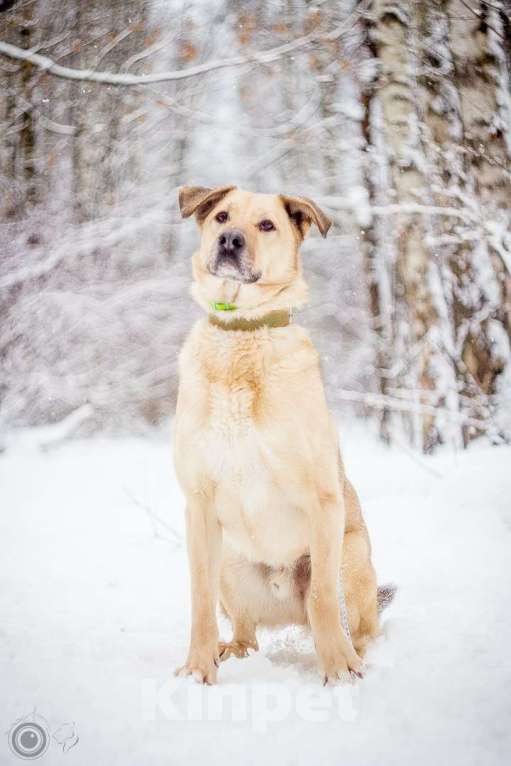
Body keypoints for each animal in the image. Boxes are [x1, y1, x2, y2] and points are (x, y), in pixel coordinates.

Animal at [174, 188, 390, 688]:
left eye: (267, 225)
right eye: (221, 217)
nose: (230, 240)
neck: (241, 335)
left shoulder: (323, 500)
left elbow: (324, 599)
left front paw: (339, 671)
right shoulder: (199, 505)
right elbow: (199, 601)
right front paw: (198, 671)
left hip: (352, 553)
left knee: (356, 623)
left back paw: (356, 655)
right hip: (230, 560)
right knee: (246, 631)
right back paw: (230, 651)